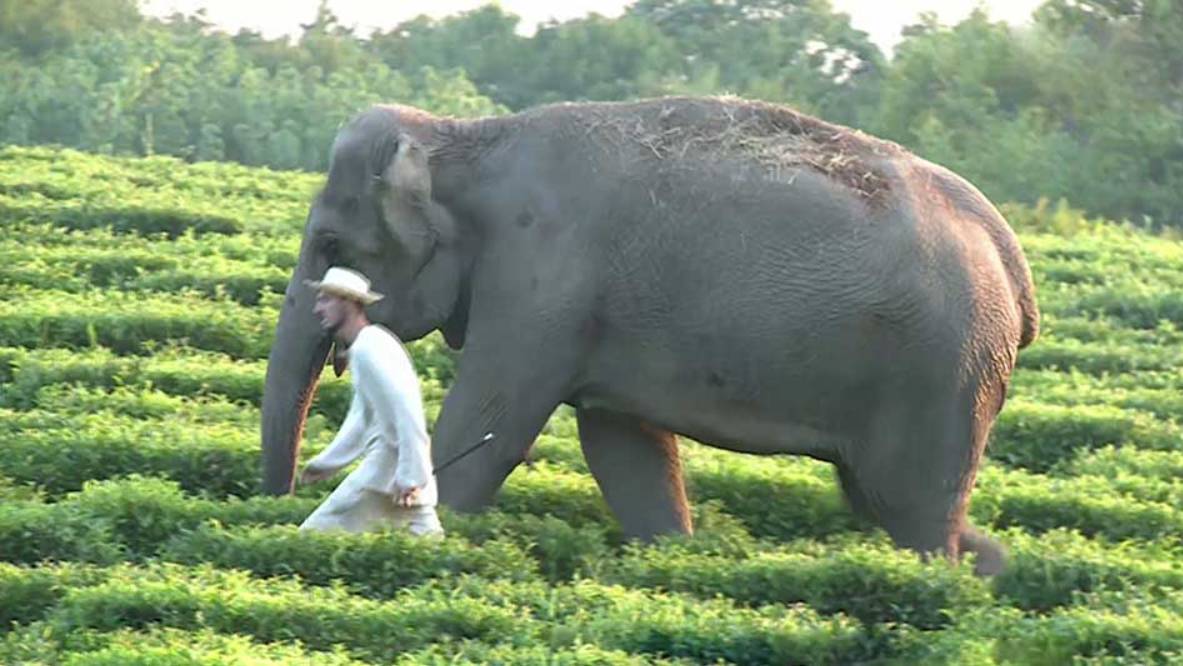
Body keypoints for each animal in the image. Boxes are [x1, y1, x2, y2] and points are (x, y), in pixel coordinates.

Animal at [263, 92, 1041, 572]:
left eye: (330, 245)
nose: (278, 502)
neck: (466, 136)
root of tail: (1009, 256)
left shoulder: (540, 283)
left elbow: (492, 425)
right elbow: (622, 446)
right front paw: (668, 554)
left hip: (943, 372)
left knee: (911, 510)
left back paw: (951, 575)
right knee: (880, 499)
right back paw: (988, 565)